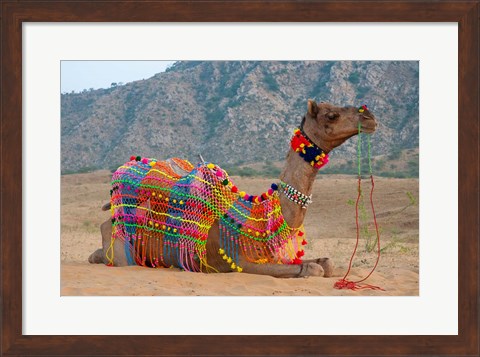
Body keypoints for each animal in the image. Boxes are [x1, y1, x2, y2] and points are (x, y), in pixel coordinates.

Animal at [88, 100, 376, 278]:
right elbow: (313, 270)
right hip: (122, 246)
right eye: (331, 115)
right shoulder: (242, 262)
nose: (370, 117)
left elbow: (326, 264)